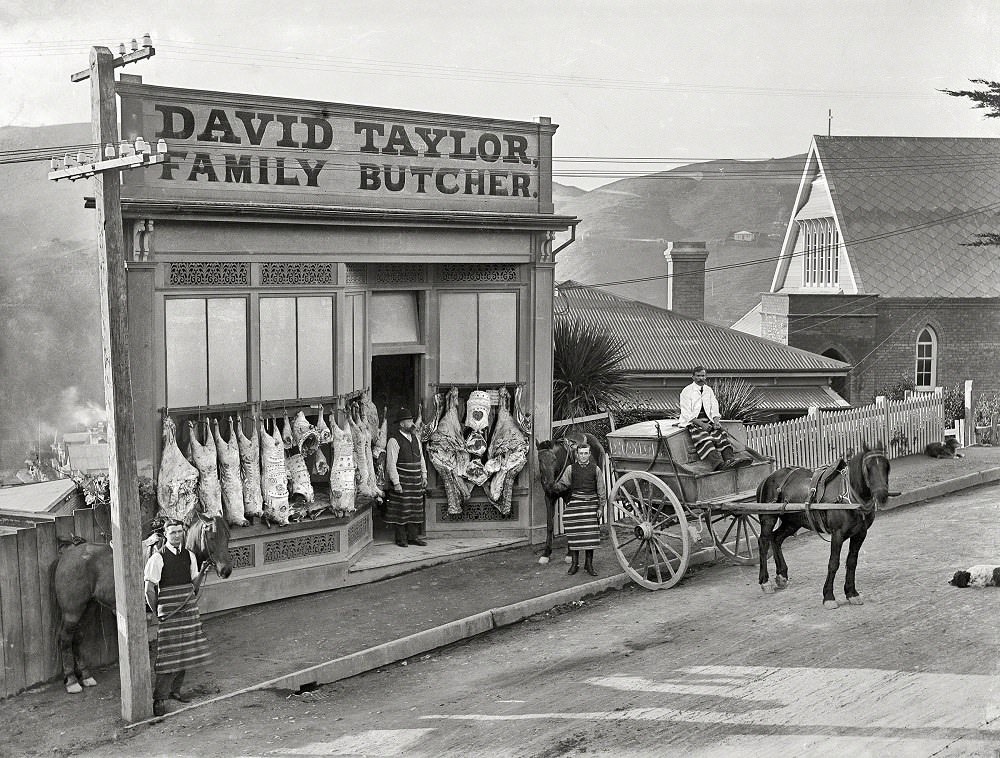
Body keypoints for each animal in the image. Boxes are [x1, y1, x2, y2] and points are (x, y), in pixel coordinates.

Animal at [536, 434, 604, 564]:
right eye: (540, 460)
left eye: (554, 459)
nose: (549, 483)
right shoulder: (549, 497)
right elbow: (550, 525)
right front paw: (546, 554)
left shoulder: (569, 498)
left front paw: (570, 553)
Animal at [752, 446, 888, 612]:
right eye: (867, 468)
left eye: (887, 466)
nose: (882, 495)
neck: (849, 497)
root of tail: (767, 478)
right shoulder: (837, 534)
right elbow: (833, 563)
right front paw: (829, 596)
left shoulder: (860, 534)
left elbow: (852, 562)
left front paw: (851, 593)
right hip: (768, 518)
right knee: (764, 541)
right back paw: (765, 581)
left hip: (793, 522)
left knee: (776, 538)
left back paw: (782, 575)